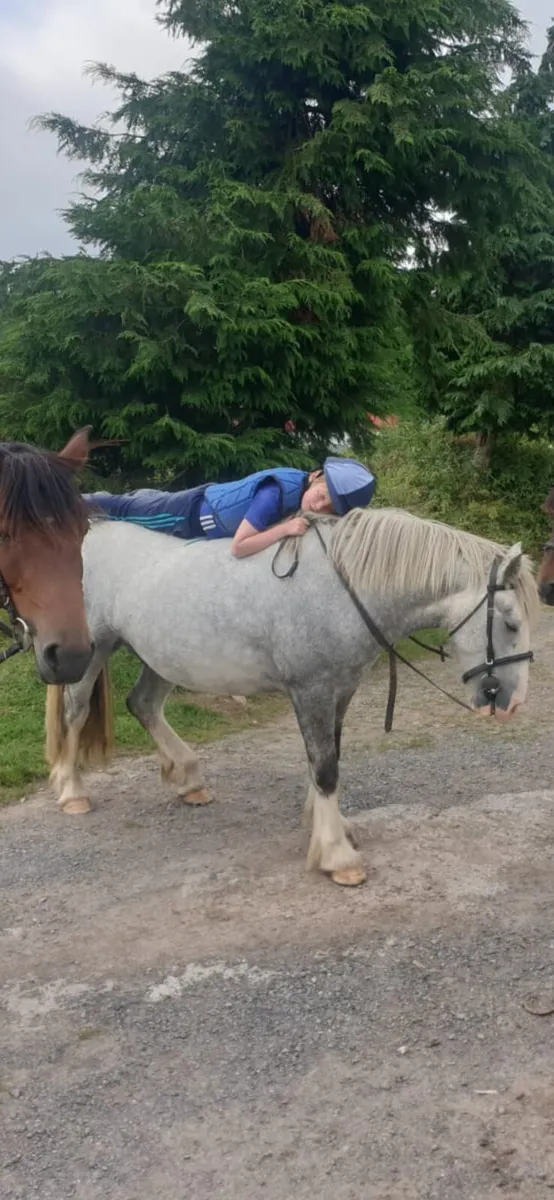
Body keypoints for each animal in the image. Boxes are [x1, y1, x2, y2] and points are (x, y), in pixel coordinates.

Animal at [44, 506, 538, 886]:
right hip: (91, 652)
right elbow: (325, 767)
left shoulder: (340, 688)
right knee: (75, 711)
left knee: (143, 704)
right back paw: (71, 792)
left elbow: (328, 757)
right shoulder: (312, 689)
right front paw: (337, 856)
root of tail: (93, 535)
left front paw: (327, 826)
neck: (342, 590)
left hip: (162, 657)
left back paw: (189, 780)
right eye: (510, 621)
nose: (513, 704)